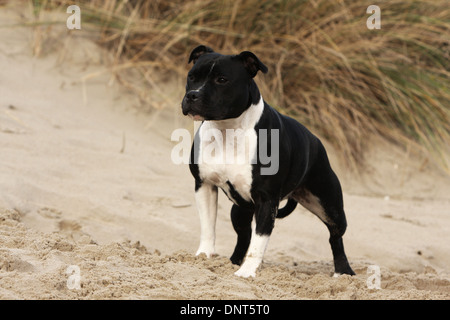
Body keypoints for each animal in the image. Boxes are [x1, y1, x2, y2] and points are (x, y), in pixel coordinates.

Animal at [181, 45, 354, 278]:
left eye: (222, 80)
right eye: (192, 77)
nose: (193, 95)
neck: (227, 130)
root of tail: (316, 141)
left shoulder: (266, 200)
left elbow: (259, 240)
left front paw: (247, 272)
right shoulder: (205, 184)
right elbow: (208, 225)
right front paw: (204, 256)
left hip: (329, 206)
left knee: (335, 236)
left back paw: (343, 272)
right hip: (240, 210)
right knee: (244, 235)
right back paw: (234, 261)